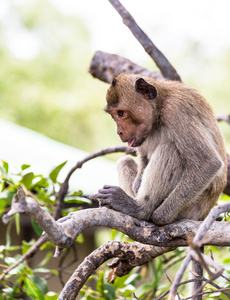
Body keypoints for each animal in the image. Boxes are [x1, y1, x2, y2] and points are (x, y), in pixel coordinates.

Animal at [96, 74, 227, 226]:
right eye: (114, 115)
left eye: (121, 113)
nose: (119, 132)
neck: (160, 106)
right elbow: (143, 156)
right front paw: (137, 184)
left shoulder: (176, 110)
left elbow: (207, 163)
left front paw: (160, 216)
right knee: (125, 161)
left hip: (192, 207)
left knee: (170, 149)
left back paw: (140, 208)